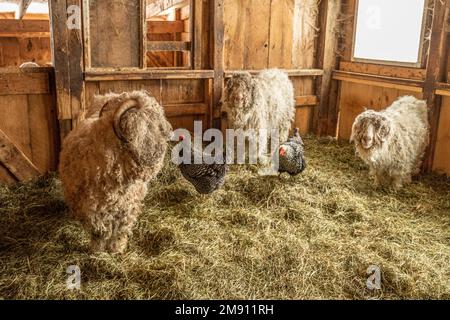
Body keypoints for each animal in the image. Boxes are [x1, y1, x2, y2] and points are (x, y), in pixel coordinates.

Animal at [59, 90, 172, 252]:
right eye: (150, 119)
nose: (170, 131)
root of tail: (105, 96)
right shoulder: (94, 209)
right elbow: (99, 232)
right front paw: (98, 251)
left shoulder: (126, 206)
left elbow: (120, 230)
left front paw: (117, 248)